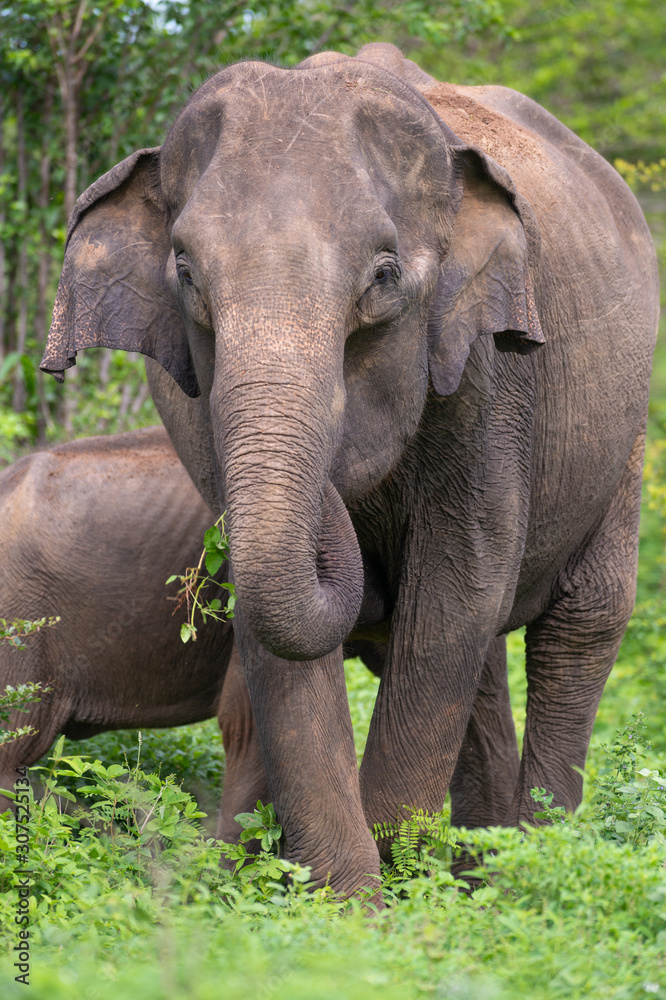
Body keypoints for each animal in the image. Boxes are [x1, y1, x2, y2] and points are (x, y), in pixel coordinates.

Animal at [40, 42, 659, 898]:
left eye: (384, 277)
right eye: (186, 274)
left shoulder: (493, 372)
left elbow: (460, 577)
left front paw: (401, 887)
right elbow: (274, 615)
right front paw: (350, 902)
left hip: (625, 423)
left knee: (580, 620)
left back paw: (528, 871)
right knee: (482, 654)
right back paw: (479, 868)